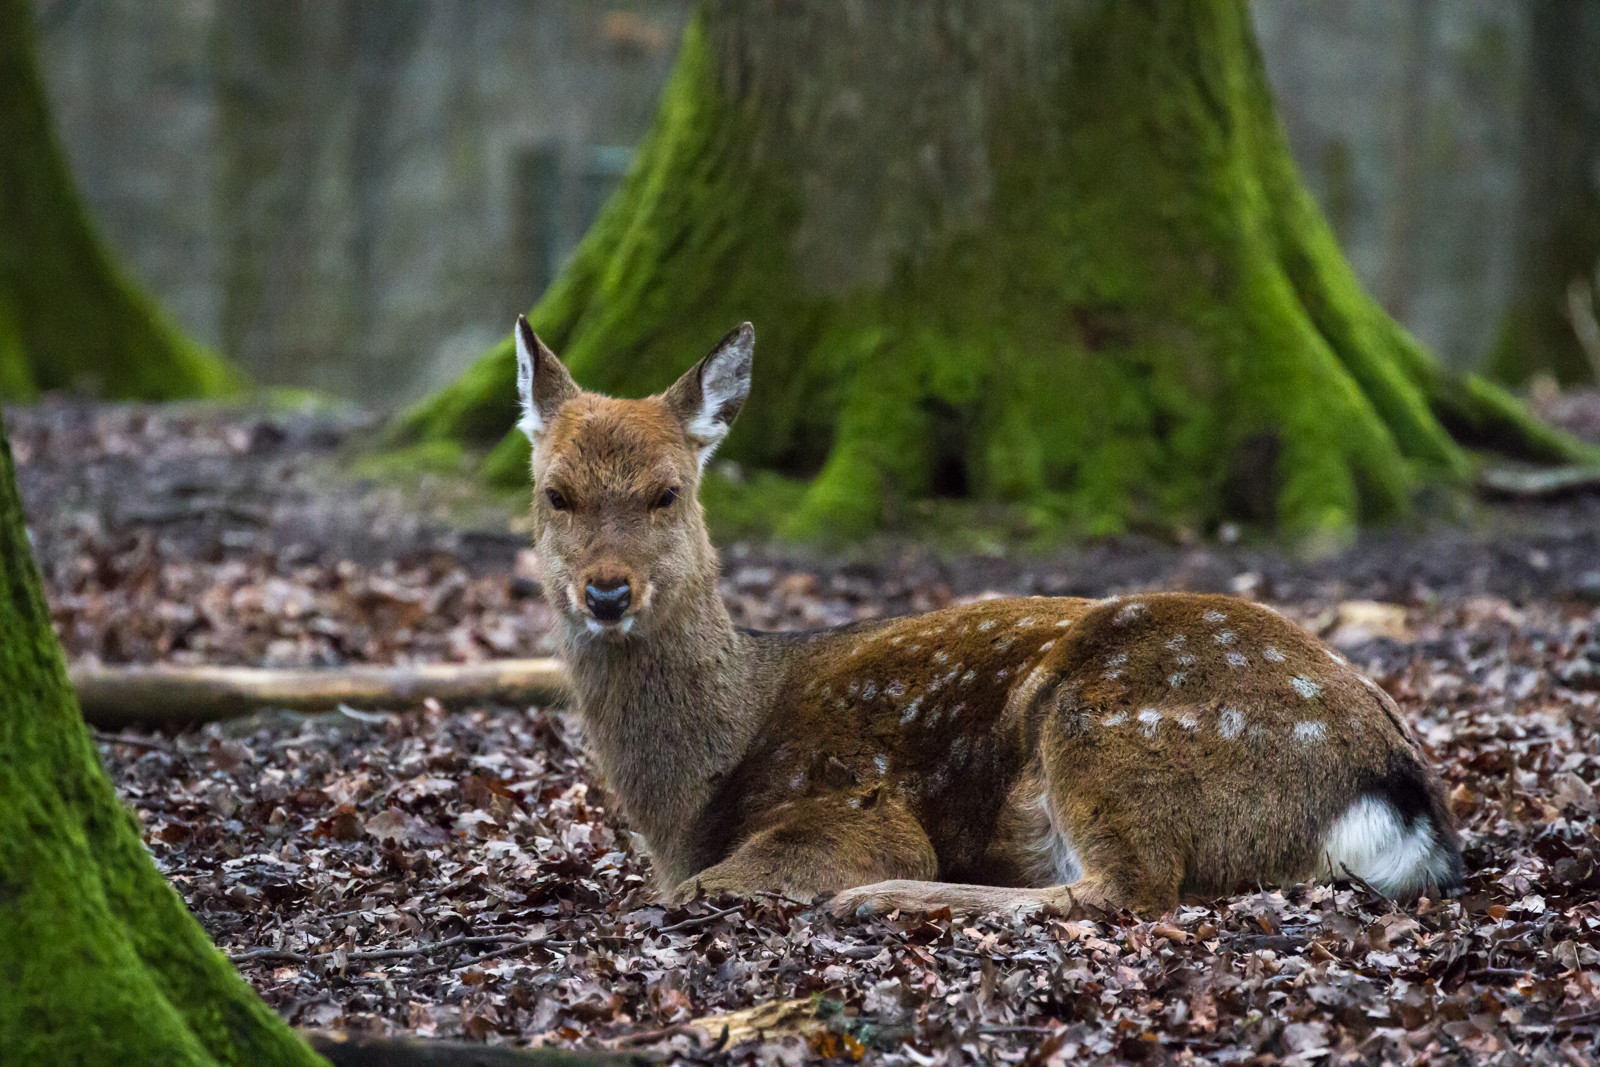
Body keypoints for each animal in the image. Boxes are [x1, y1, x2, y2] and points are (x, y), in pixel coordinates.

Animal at [512, 315, 1465, 921]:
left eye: (667, 491)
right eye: (555, 493)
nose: (606, 591)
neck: (693, 795)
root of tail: (1397, 792)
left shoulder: (857, 801)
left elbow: (695, 887)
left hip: (1110, 723)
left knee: (1133, 887)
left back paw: (877, 900)